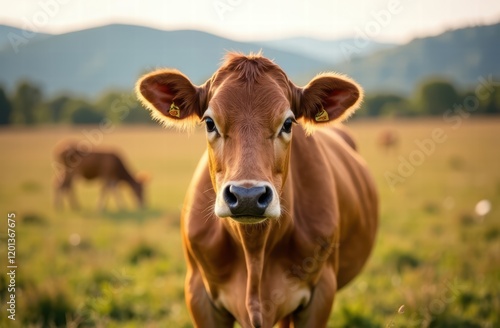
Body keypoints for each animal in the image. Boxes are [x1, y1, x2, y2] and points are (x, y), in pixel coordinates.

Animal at [135, 53, 376, 328]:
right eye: (209, 122)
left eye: (288, 123)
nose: (247, 196)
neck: (255, 251)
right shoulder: (199, 295)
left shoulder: (320, 293)